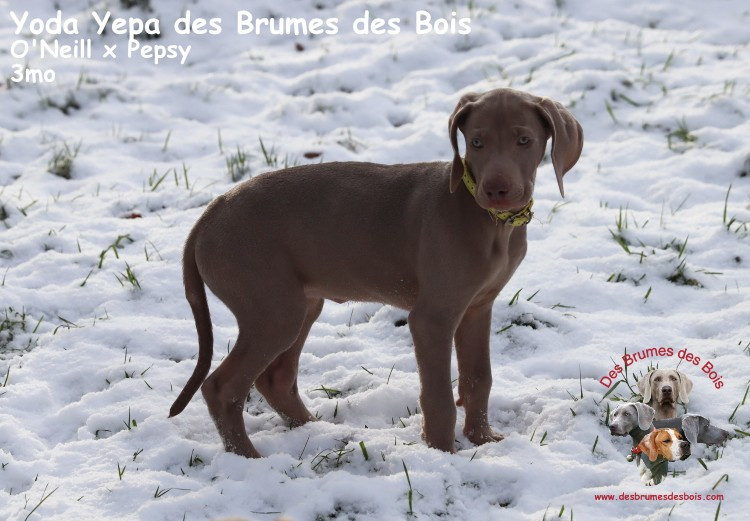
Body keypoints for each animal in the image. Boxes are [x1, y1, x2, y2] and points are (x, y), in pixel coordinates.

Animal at [168, 88, 583, 458]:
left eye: (524, 140)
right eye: (477, 143)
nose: (497, 190)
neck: (491, 223)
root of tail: (210, 213)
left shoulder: (477, 308)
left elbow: (478, 378)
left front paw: (482, 440)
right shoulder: (432, 318)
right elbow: (437, 396)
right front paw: (442, 454)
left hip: (301, 304)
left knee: (276, 378)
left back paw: (312, 429)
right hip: (273, 311)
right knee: (222, 388)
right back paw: (250, 459)